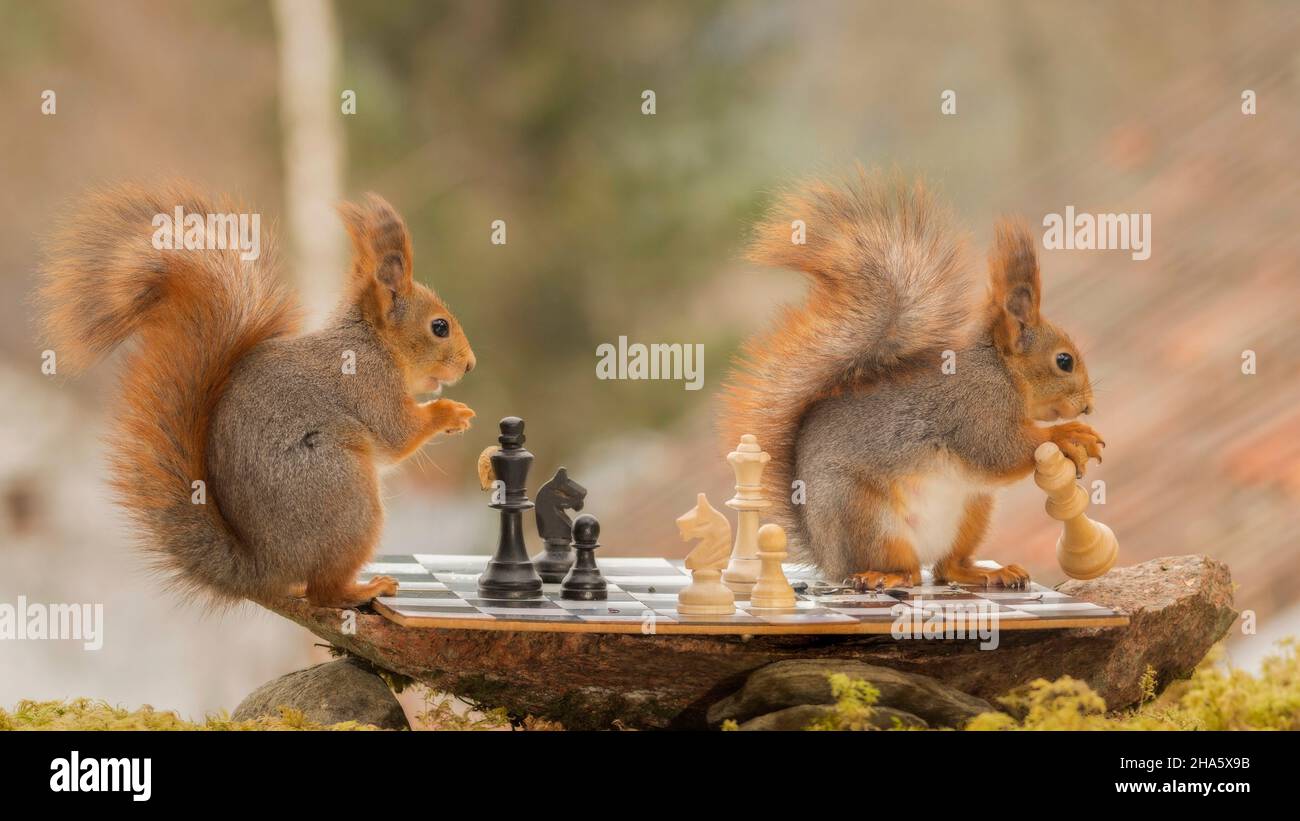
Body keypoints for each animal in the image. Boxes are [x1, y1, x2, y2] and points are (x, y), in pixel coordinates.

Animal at [728, 168, 1102, 589]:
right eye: (1064, 361)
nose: (1089, 406)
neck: (1002, 372)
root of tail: (827, 557)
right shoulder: (973, 411)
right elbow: (1001, 449)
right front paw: (1070, 435)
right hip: (865, 515)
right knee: (903, 568)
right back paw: (883, 576)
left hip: (973, 510)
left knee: (945, 568)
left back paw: (989, 572)